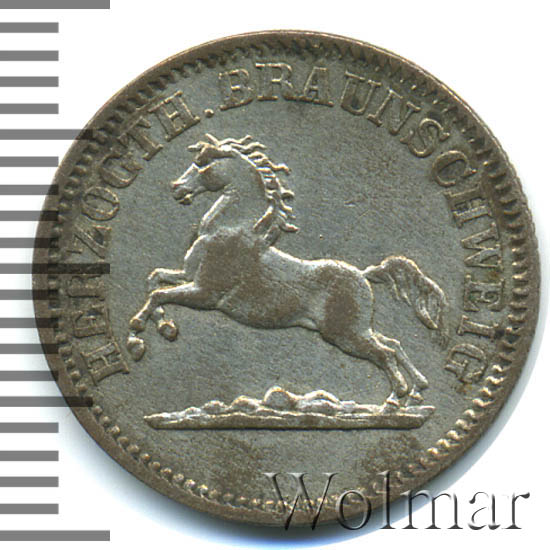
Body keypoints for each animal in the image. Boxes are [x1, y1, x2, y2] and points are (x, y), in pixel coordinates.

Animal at [126, 134, 448, 408]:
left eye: (203, 162)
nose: (176, 188)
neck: (225, 231)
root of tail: (364, 275)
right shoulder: (188, 277)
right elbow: (153, 279)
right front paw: (165, 327)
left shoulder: (205, 294)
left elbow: (158, 294)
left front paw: (138, 335)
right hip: (355, 328)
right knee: (393, 343)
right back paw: (416, 390)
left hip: (344, 334)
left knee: (385, 352)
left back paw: (397, 397)